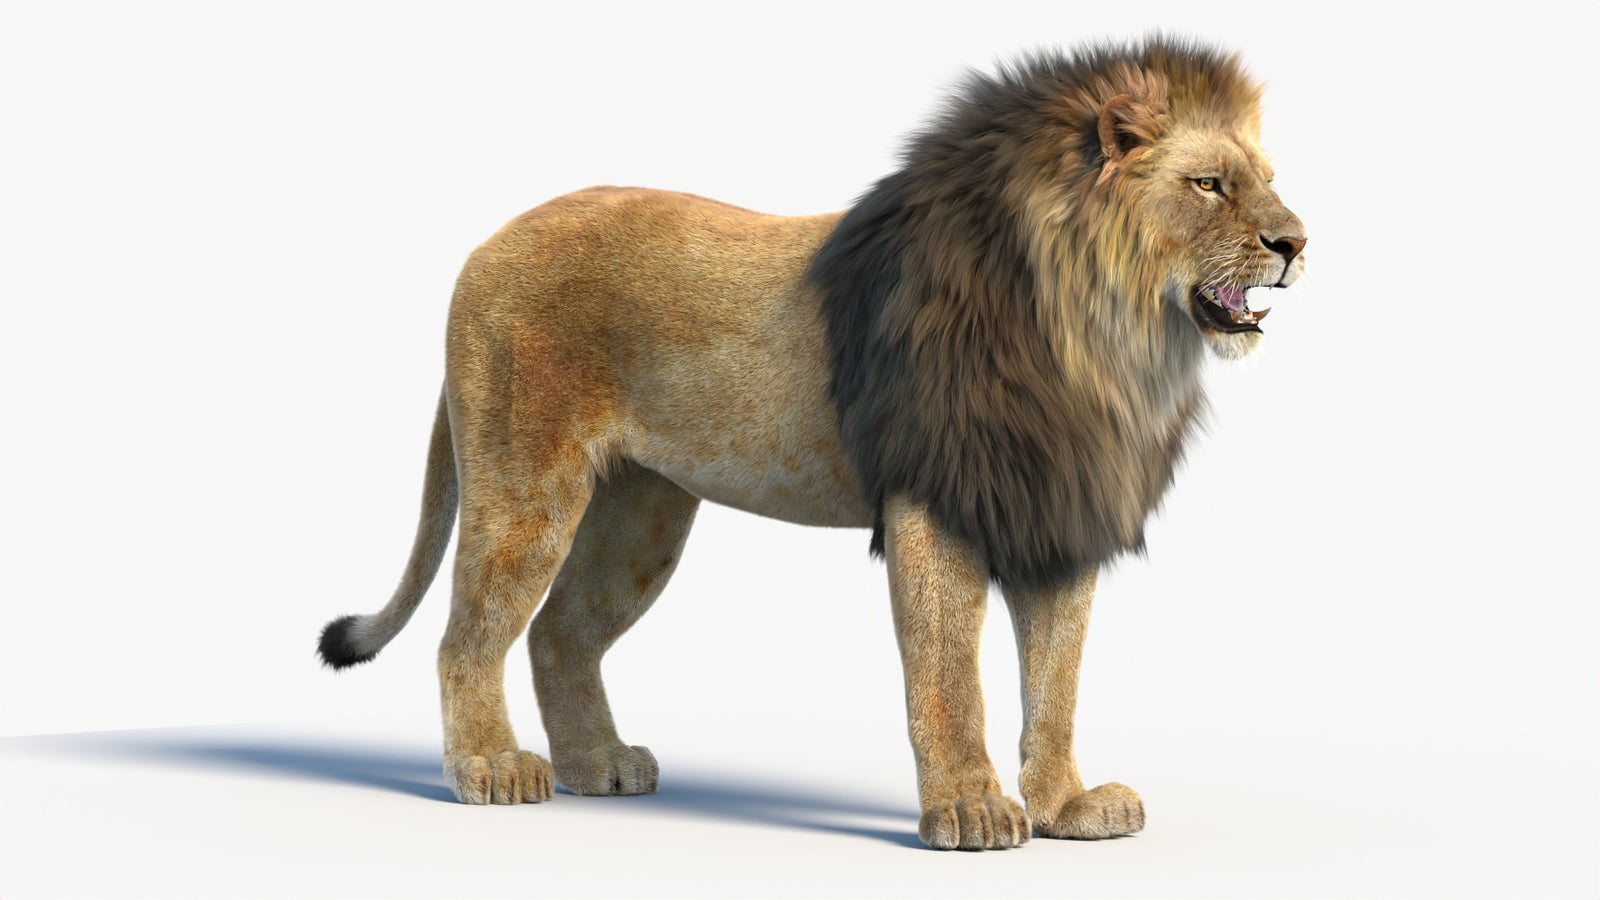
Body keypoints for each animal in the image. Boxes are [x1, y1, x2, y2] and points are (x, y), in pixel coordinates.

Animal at [318, 37, 1306, 851]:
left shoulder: (1055, 509)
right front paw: (971, 811)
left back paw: (598, 766)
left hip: (641, 516)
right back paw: (490, 767)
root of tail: (487, 243)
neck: (1103, 337)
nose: (1296, 241)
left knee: (559, 632)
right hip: (528, 488)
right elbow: (949, 677)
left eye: (1266, 178)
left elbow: (1055, 681)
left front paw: (1065, 807)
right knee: (468, 635)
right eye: (1209, 185)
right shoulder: (937, 504)